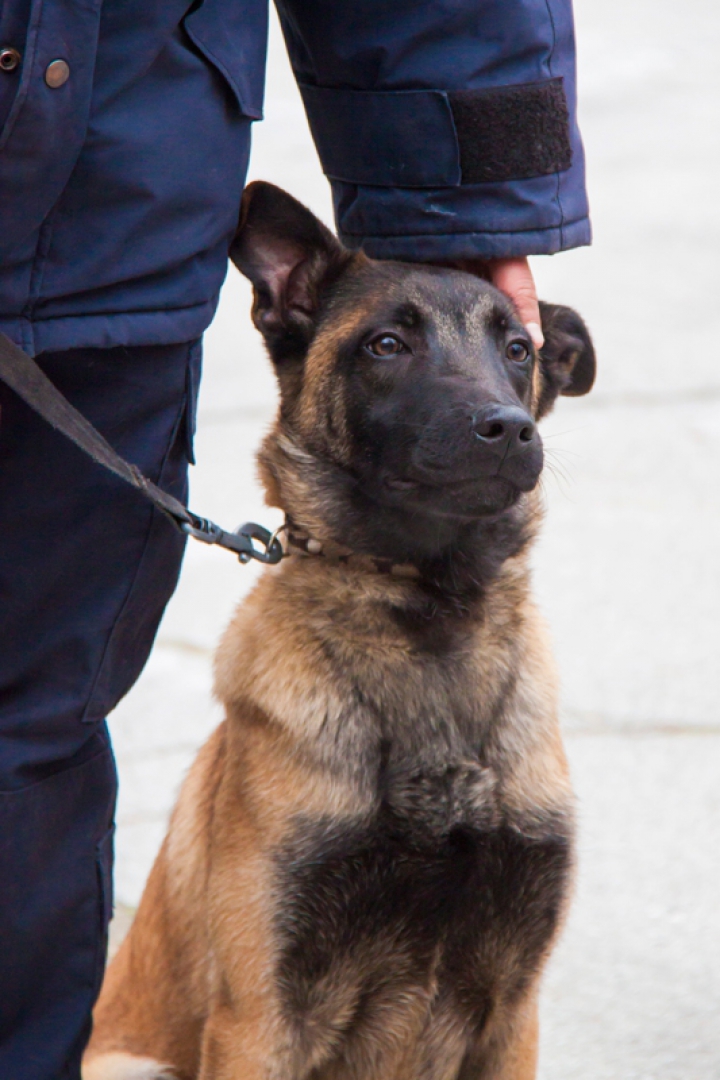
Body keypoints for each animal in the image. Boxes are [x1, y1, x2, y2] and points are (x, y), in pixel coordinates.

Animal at [83, 181, 595, 1080]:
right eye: (387, 344)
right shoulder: (259, 1021)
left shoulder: (513, 1013)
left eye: (518, 349)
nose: (507, 427)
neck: (432, 617)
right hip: (129, 1064)